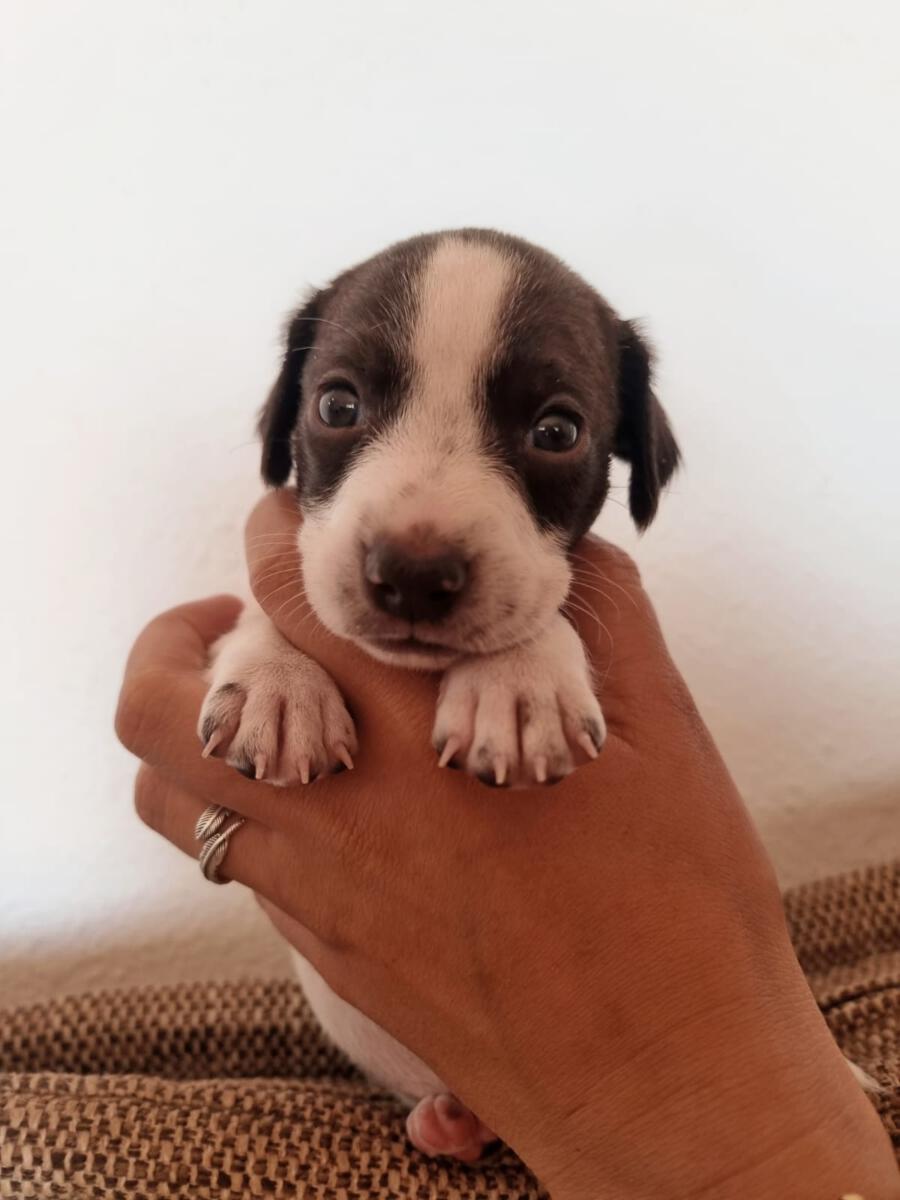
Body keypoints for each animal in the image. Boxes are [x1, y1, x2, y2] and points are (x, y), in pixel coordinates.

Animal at [198, 229, 681, 1160]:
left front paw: (520, 678)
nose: (414, 574)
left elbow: (544, 609)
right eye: (337, 405)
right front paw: (279, 680)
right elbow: (275, 603)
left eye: (556, 430)